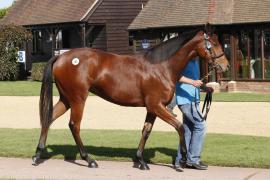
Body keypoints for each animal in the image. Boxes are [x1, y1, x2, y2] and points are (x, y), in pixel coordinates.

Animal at [32, 29, 229, 169]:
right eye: (213, 44)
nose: (225, 66)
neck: (161, 67)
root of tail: (61, 56)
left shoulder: (152, 109)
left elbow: (146, 131)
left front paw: (140, 160)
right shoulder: (156, 106)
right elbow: (179, 126)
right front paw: (183, 160)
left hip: (66, 99)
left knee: (48, 118)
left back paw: (37, 155)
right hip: (78, 99)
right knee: (74, 125)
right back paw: (89, 159)